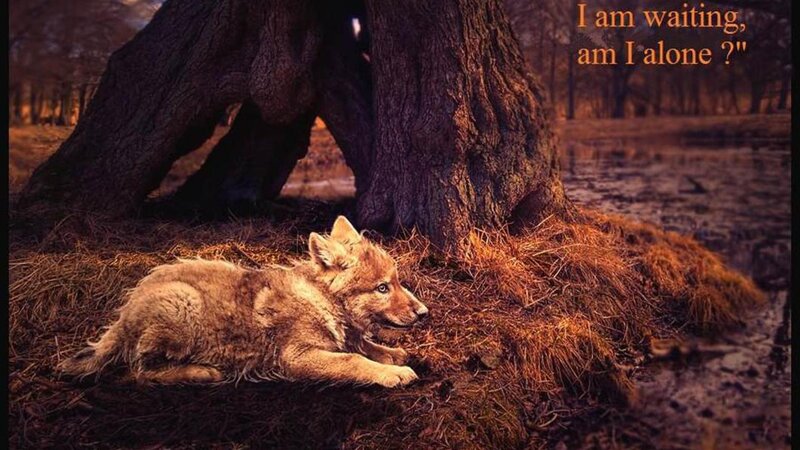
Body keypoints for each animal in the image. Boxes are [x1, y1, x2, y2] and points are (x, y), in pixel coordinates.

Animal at [58, 216, 428, 388]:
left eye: (396, 282)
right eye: (382, 288)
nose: (425, 312)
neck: (322, 301)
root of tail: (122, 317)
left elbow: (365, 347)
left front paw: (393, 355)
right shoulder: (297, 358)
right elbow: (353, 360)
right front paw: (392, 373)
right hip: (183, 304)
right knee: (139, 373)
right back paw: (201, 372)